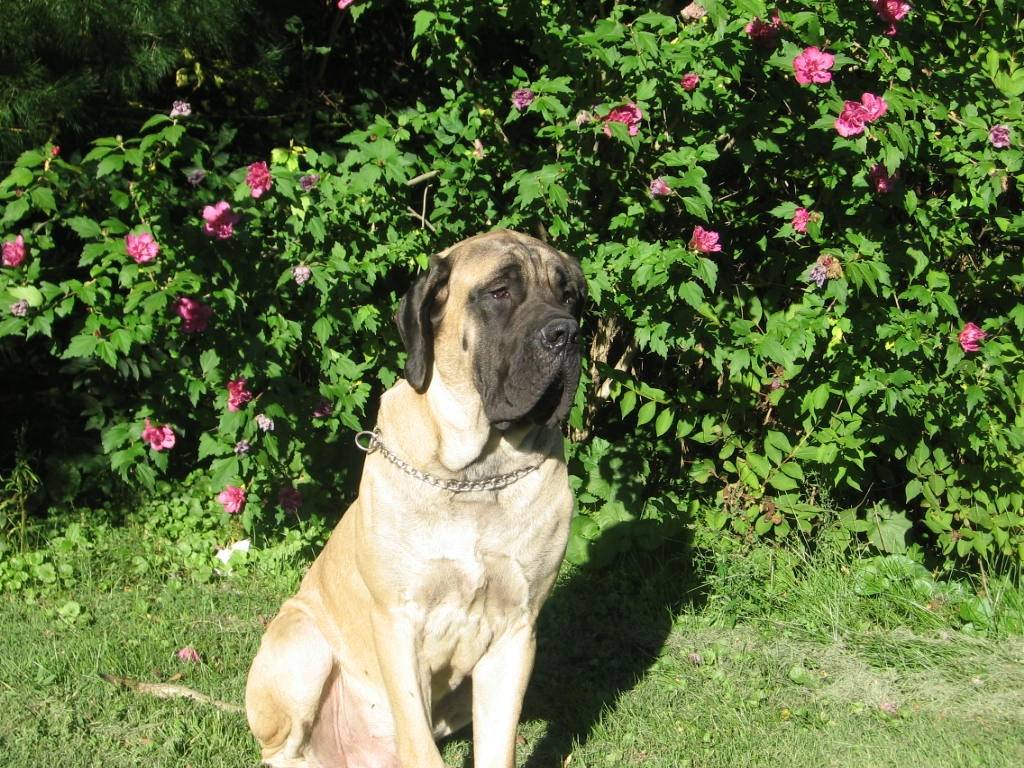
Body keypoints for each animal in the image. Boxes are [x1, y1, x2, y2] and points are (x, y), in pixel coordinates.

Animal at [245, 230, 586, 768]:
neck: (476, 475)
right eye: (499, 292)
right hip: (300, 643)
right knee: (283, 749)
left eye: (569, 297)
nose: (567, 333)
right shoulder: (398, 620)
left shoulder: (517, 629)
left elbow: (498, 744)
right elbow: (419, 741)